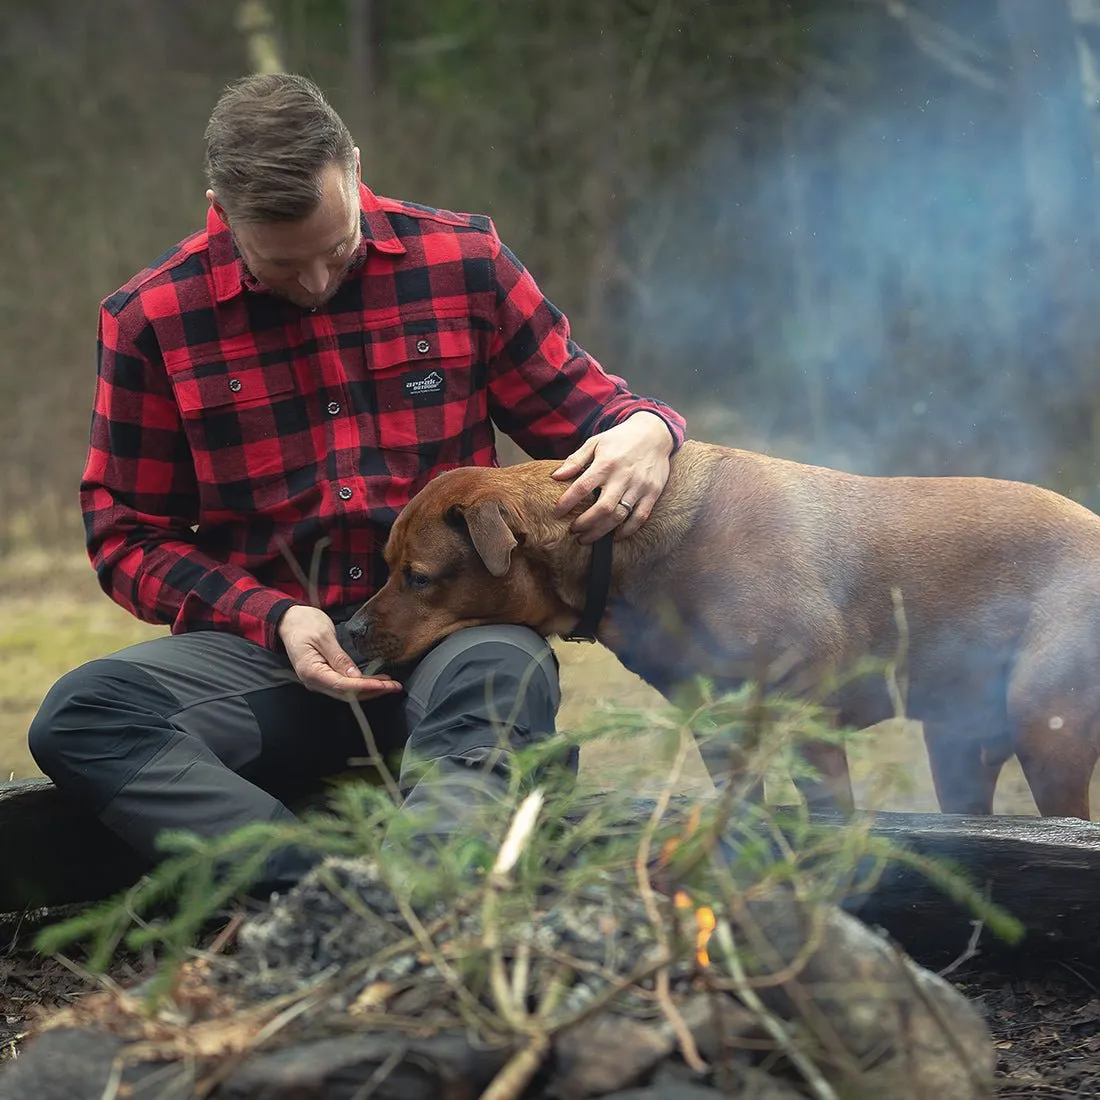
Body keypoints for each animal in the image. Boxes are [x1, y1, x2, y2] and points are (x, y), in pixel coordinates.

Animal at [345, 440, 1100, 818]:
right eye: (387, 565)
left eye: (418, 576)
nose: (348, 630)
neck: (620, 547)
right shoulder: (714, 719)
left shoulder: (803, 708)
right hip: (959, 741)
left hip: (1048, 731)